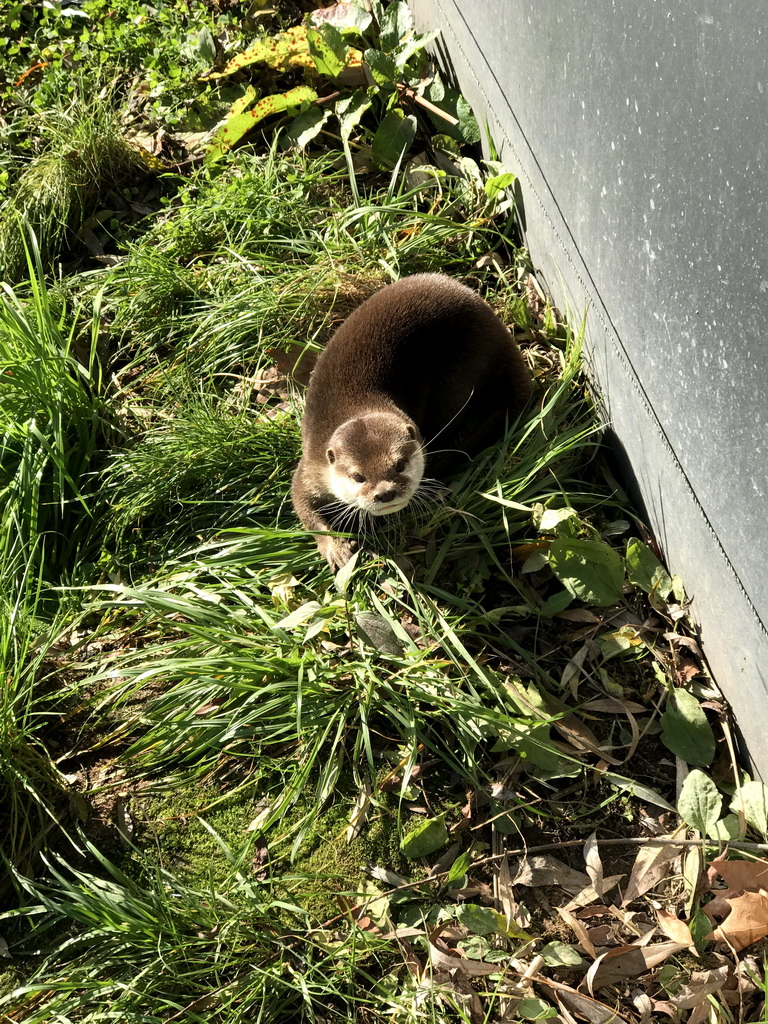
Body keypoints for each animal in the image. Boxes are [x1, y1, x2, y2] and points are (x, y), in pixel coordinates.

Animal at [290, 272, 532, 573]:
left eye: (400, 464)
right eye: (358, 476)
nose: (385, 493)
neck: (355, 407)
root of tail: (501, 334)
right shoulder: (312, 465)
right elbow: (304, 507)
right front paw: (335, 549)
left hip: (462, 368)